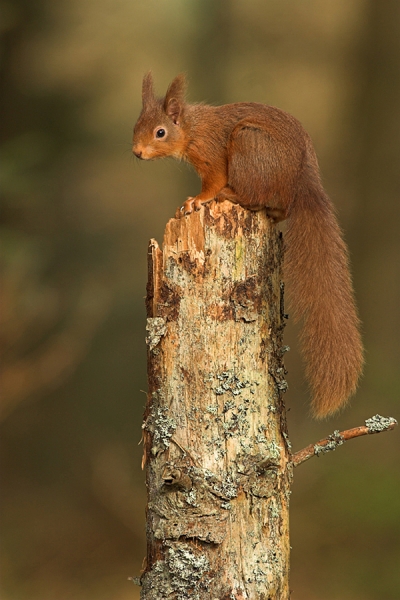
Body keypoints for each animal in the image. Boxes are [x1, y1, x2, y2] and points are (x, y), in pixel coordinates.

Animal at [133, 72, 364, 418]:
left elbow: (212, 182)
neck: (192, 128)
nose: (137, 152)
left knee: (253, 195)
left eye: (160, 132)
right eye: (137, 125)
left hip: (248, 144)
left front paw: (197, 201)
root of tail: (301, 179)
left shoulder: (212, 156)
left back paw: (230, 194)